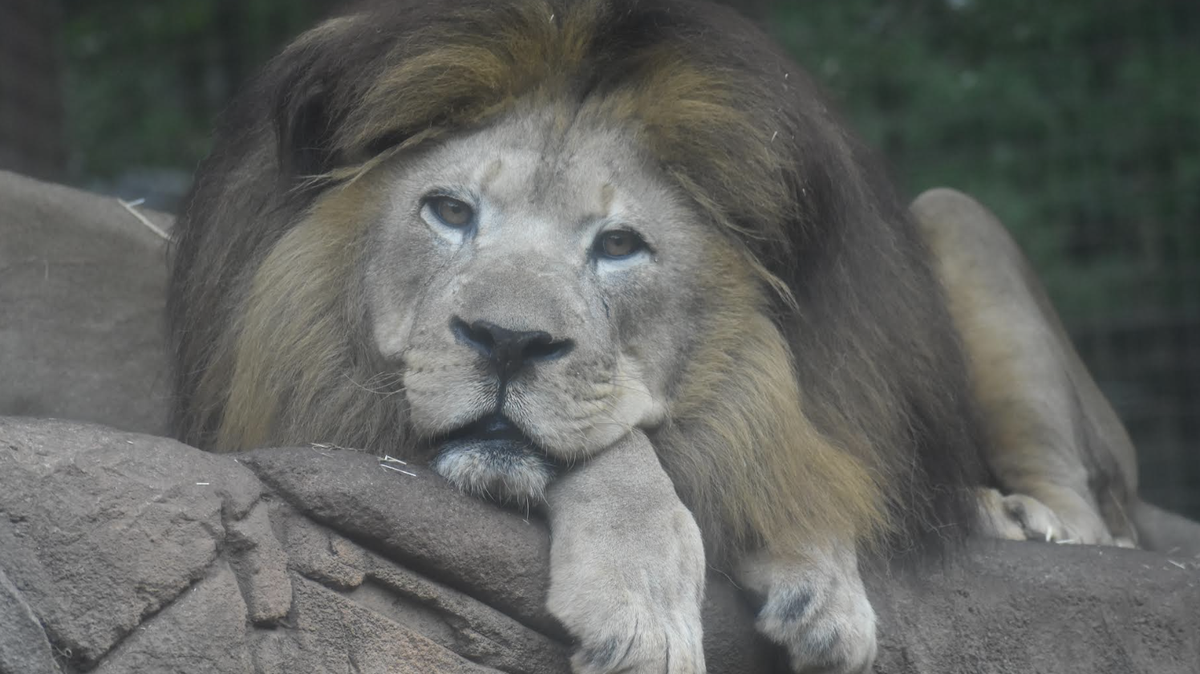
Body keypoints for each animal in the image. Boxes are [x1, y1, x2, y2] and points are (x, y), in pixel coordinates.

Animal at [166, 1, 1200, 672]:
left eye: (619, 245)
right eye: (450, 212)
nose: (505, 342)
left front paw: (821, 580)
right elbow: (630, 453)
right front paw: (650, 607)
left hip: (956, 217)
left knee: (1097, 522)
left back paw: (1010, 517)